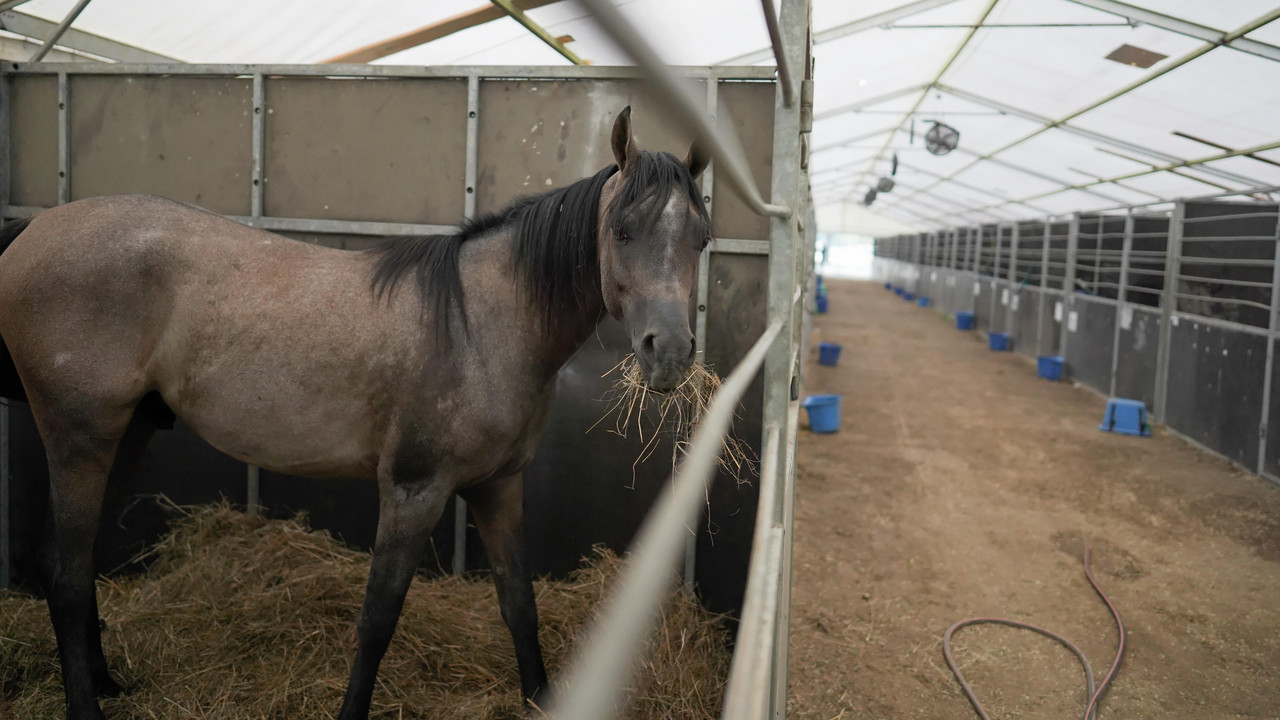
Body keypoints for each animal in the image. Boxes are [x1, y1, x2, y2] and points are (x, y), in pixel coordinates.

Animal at [0, 106, 711, 717]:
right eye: (621, 230)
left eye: (701, 239)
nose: (671, 352)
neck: (479, 325)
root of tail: (32, 233)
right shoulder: (413, 490)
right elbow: (378, 618)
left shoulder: (499, 487)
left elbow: (519, 603)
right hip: (79, 437)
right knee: (67, 573)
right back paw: (87, 706)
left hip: (127, 433)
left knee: (71, 561)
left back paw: (107, 683)